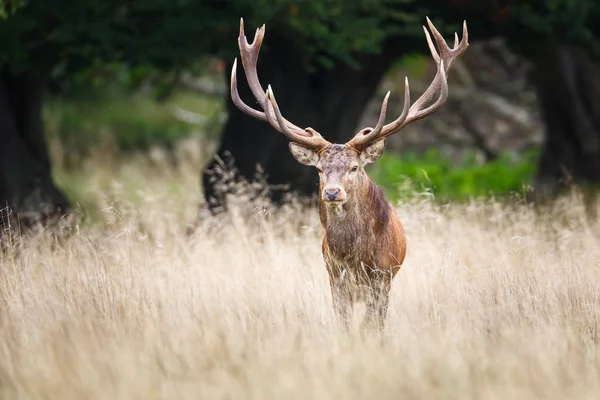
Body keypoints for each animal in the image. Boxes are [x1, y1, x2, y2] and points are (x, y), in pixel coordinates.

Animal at [230, 16, 468, 332]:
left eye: (355, 167)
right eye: (319, 169)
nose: (332, 192)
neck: (354, 257)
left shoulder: (381, 279)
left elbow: (372, 327)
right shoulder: (335, 277)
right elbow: (343, 324)